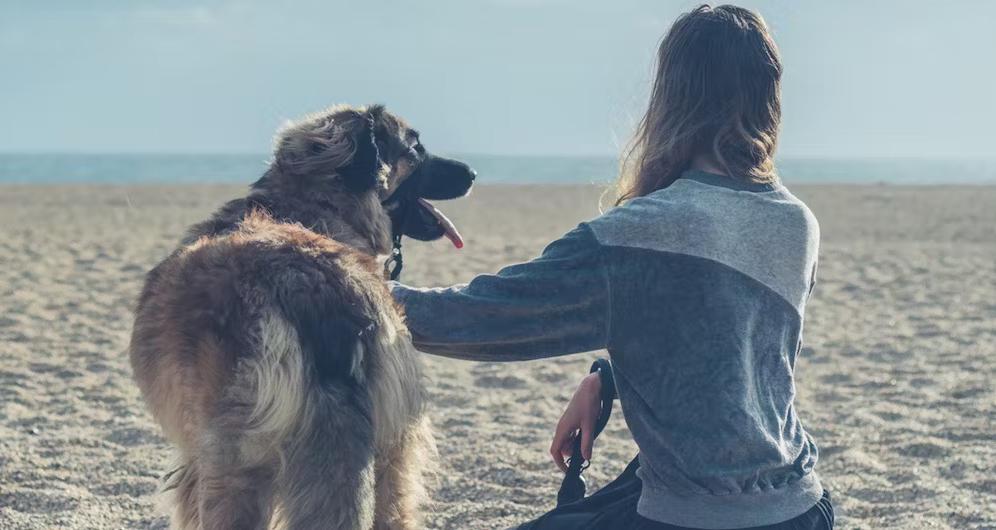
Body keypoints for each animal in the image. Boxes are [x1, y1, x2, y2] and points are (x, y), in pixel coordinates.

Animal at [127, 104, 474, 528]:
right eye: (416, 148)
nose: (473, 174)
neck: (310, 209)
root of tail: (322, 291)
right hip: (392, 450)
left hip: (234, 459)